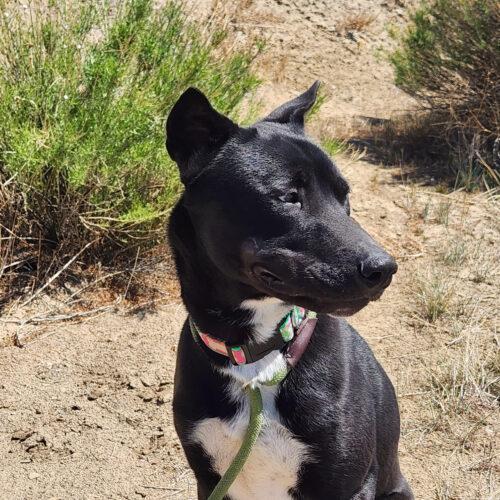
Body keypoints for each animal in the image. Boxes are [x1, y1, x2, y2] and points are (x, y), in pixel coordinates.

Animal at [166, 84, 412, 498]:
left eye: (345, 196)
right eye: (288, 195)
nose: (384, 269)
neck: (255, 361)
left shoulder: (349, 485)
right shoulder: (210, 480)